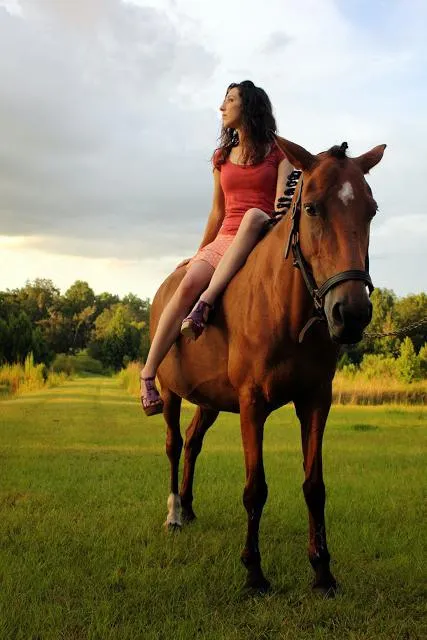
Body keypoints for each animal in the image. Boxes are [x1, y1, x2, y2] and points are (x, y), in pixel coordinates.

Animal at [150, 138, 388, 596]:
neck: (287, 309)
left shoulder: (316, 401)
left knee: (192, 443)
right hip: (171, 395)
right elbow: (255, 489)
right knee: (173, 444)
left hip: (208, 402)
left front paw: (322, 571)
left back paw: (187, 507)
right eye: (311, 208)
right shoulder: (252, 404)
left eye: (371, 209)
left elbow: (314, 486)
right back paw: (173, 513)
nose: (350, 313)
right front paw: (254, 572)